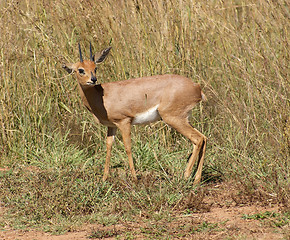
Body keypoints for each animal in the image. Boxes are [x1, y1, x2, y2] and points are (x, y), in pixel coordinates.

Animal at [62, 43, 207, 184]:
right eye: (81, 69)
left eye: (95, 67)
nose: (93, 79)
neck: (101, 95)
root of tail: (197, 87)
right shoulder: (111, 126)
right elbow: (109, 146)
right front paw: (104, 178)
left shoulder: (124, 122)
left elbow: (128, 147)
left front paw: (134, 178)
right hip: (183, 119)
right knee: (203, 138)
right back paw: (196, 179)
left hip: (173, 118)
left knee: (197, 139)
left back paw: (186, 175)